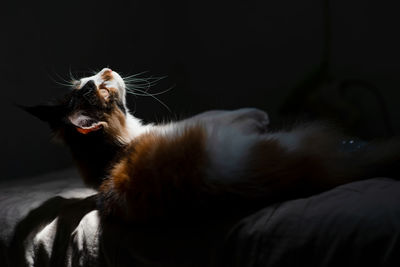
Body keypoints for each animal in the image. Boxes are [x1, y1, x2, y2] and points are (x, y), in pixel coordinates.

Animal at [22, 68, 400, 223]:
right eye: (100, 89)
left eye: (89, 82)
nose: (106, 69)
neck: (111, 156)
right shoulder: (195, 125)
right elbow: (219, 113)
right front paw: (257, 114)